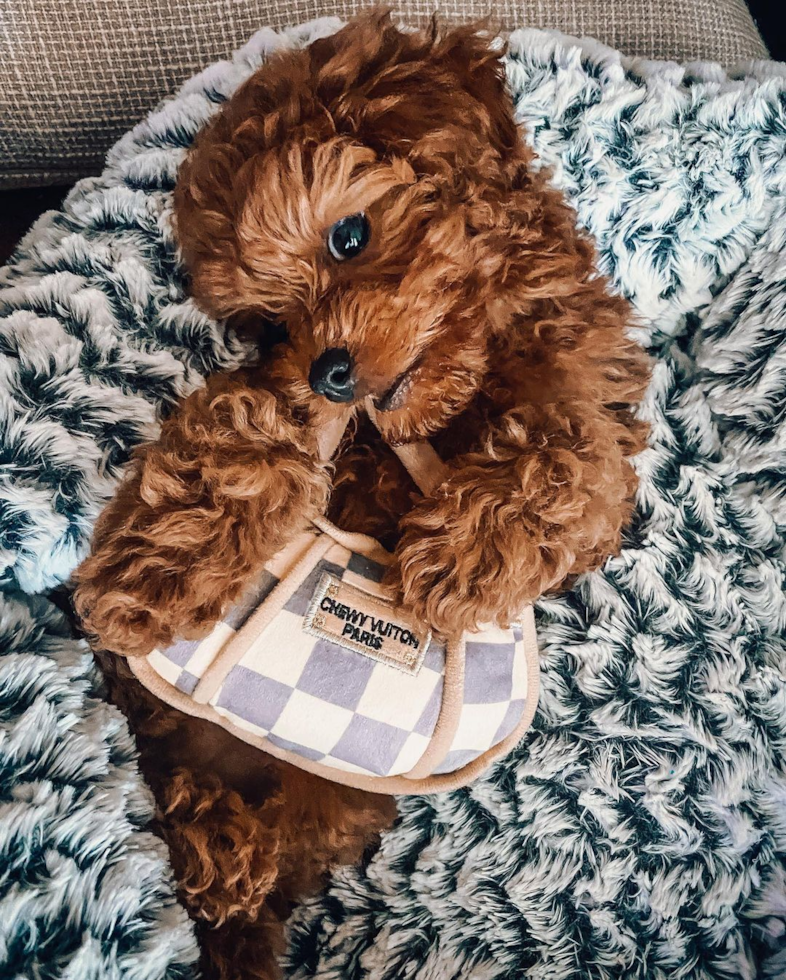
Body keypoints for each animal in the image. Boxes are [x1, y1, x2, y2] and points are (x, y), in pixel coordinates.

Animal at [75, 11, 648, 976]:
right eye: (272, 324)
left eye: (349, 237)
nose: (331, 372)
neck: (450, 400)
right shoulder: (306, 417)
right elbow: (248, 423)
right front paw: (154, 569)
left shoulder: (592, 396)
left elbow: (575, 455)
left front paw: (463, 556)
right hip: (155, 720)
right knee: (168, 778)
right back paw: (213, 847)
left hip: (336, 797)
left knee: (280, 850)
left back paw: (230, 865)